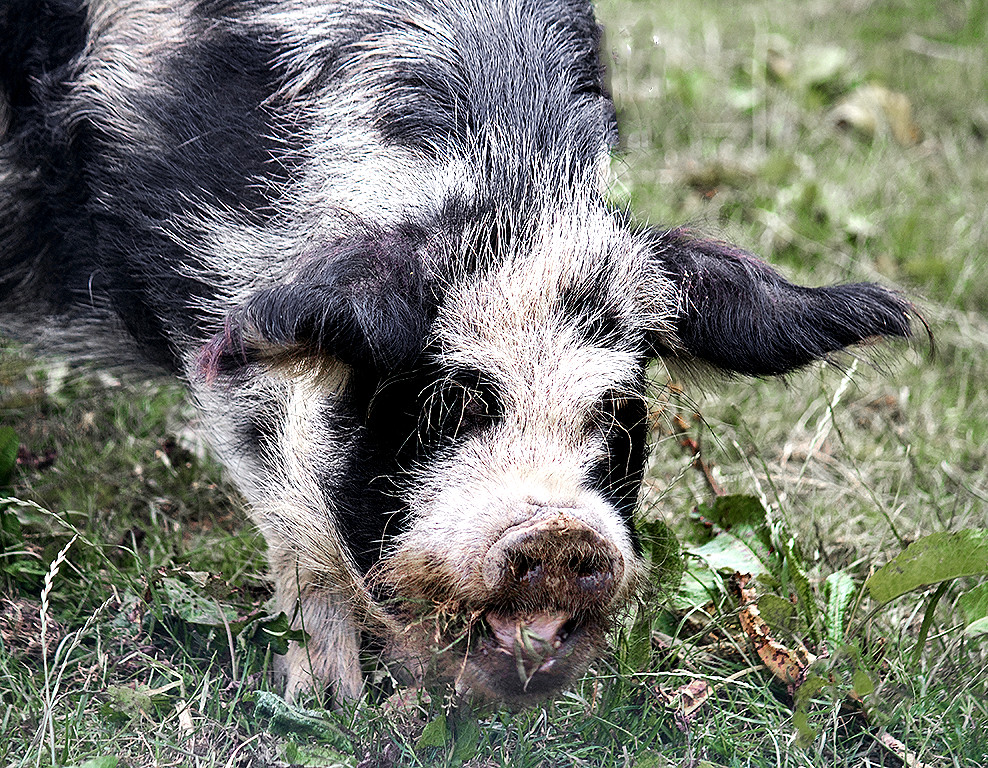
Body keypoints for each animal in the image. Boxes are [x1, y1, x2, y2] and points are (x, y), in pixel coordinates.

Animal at [0, 0, 917, 706]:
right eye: (451, 400)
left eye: (619, 412)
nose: (562, 534)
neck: (509, 175)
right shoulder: (214, 289)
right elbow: (289, 498)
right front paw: (324, 703)